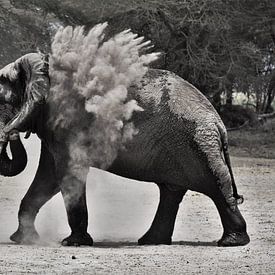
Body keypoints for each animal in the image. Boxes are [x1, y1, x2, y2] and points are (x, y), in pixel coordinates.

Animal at [0, 54, 250, 248]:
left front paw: (73, 243)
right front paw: (23, 239)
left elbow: (66, 173)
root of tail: (218, 122)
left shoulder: (67, 120)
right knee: (171, 190)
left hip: (196, 142)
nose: (10, 133)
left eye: (2, 101)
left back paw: (232, 242)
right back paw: (151, 241)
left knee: (214, 185)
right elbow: (48, 176)